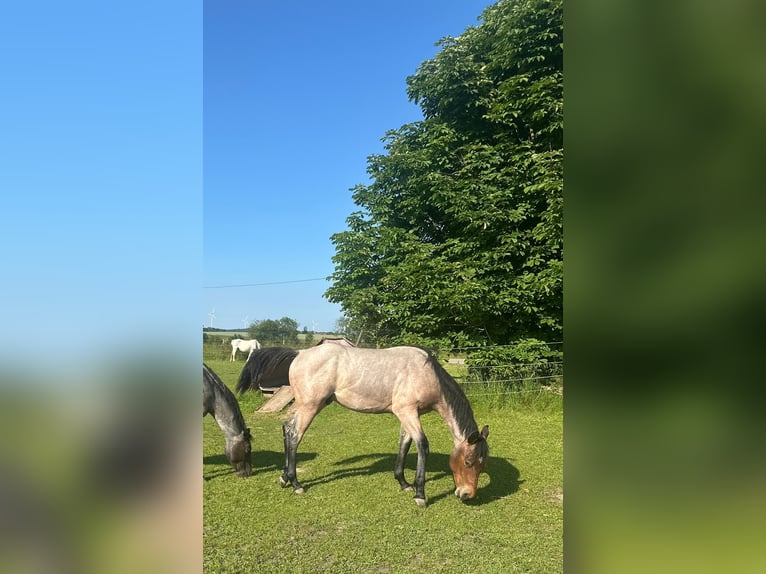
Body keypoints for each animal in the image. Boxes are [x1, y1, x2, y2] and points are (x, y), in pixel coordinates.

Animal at [236, 344, 489, 507]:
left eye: (481, 464)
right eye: (468, 462)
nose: (467, 494)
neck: (426, 373)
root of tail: (300, 353)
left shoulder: (407, 414)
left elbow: (404, 444)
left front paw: (403, 483)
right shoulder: (407, 412)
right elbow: (422, 446)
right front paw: (420, 494)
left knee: (287, 428)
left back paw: (284, 478)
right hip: (310, 406)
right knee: (294, 435)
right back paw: (296, 483)